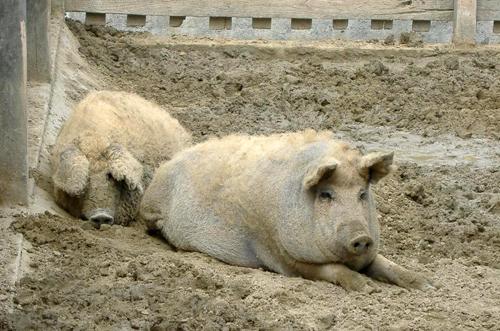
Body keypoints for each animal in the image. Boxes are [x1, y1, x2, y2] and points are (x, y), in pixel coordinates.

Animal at [141, 131, 434, 292]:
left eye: (362, 194)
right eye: (326, 194)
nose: (361, 237)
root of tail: (167, 162)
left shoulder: (370, 254)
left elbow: (386, 263)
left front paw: (426, 284)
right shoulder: (279, 254)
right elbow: (331, 270)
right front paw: (367, 287)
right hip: (151, 210)